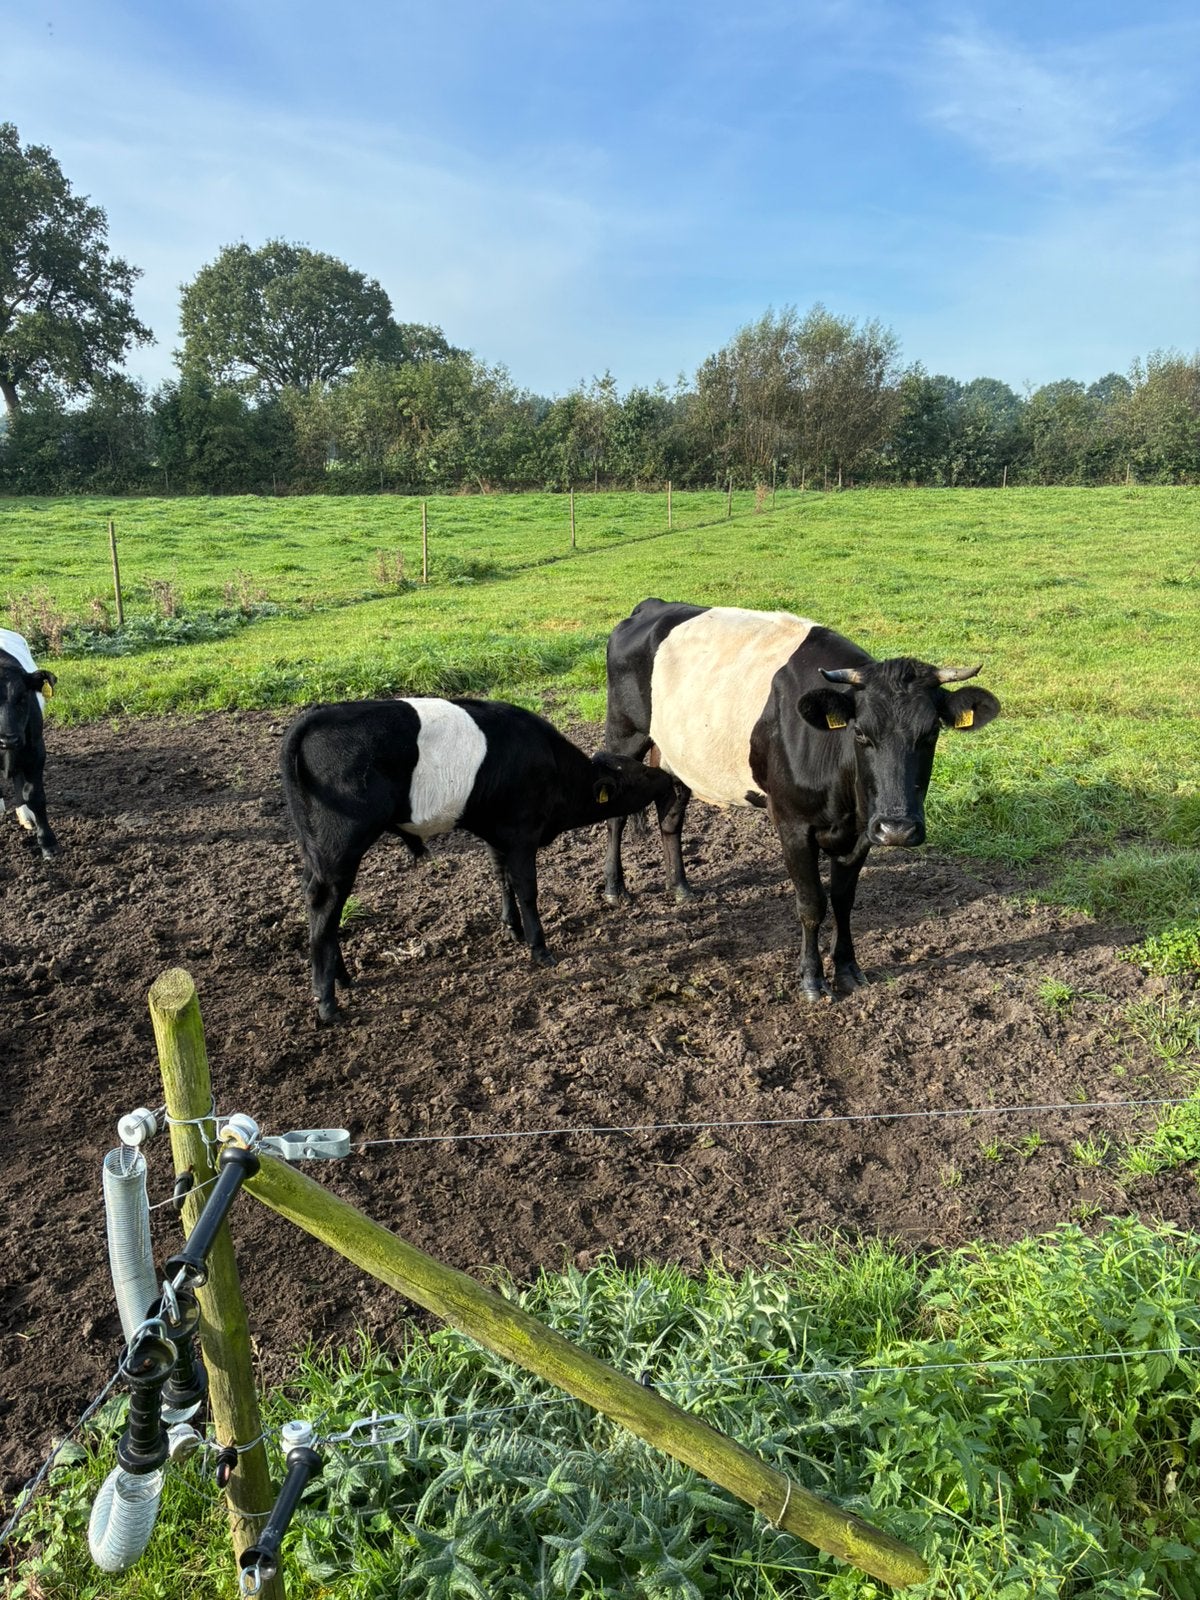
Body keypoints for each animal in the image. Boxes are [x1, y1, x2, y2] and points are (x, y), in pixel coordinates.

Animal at [0, 628, 59, 860]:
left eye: (23, 698)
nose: (9, 739)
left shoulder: (35, 751)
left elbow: (34, 795)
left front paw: (48, 843)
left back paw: (26, 816)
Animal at [280, 696, 677, 1022]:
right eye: (640, 773)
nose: (666, 777)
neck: (553, 767)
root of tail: (318, 715)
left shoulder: (498, 835)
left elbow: (502, 878)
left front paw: (512, 928)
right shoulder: (522, 834)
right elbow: (527, 890)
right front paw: (539, 947)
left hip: (317, 849)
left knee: (320, 903)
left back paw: (342, 978)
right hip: (341, 846)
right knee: (325, 905)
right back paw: (328, 1002)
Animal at [603, 600, 1000, 1002]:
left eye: (932, 731)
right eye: (860, 732)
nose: (898, 829)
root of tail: (653, 605)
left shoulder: (861, 830)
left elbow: (843, 899)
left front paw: (847, 969)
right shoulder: (792, 823)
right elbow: (812, 903)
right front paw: (811, 980)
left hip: (678, 755)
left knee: (671, 814)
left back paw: (681, 888)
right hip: (625, 733)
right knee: (615, 813)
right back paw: (615, 889)